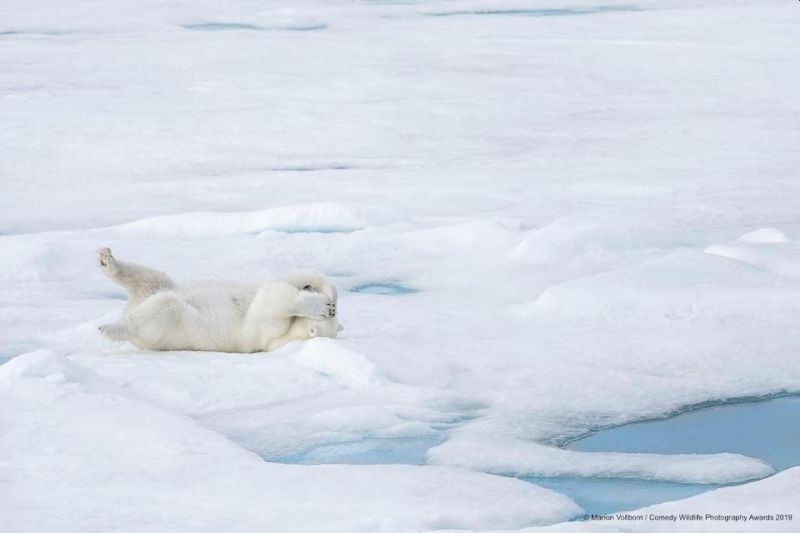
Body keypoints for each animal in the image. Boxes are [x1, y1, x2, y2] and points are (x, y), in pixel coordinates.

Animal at [96, 247, 340, 352]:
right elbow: (290, 279)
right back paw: (107, 260)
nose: (331, 309)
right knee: (150, 277)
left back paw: (109, 327)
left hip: (169, 326)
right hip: (162, 286)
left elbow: (274, 300)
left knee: (163, 307)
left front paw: (321, 305)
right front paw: (326, 294)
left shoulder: (266, 333)